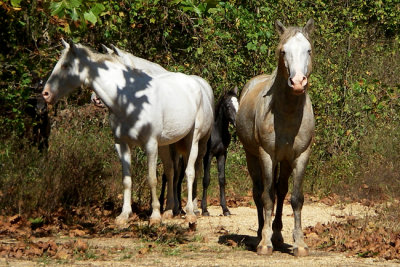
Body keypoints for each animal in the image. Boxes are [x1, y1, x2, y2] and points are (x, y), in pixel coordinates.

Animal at [42, 40, 214, 226]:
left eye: (66, 65)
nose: (45, 94)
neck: (130, 100)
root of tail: (195, 83)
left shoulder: (150, 144)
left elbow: (152, 179)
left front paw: (154, 216)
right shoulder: (122, 144)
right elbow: (126, 180)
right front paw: (124, 215)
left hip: (193, 141)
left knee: (190, 172)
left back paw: (190, 212)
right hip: (166, 144)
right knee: (171, 171)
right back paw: (170, 210)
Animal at [234, 19, 316, 258]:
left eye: (308, 50)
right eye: (283, 51)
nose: (297, 82)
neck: (286, 113)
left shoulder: (301, 156)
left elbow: (296, 198)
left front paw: (300, 244)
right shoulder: (267, 155)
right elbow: (267, 196)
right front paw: (264, 243)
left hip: (285, 160)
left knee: (281, 190)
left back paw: (277, 235)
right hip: (253, 156)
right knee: (259, 191)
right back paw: (262, 232)